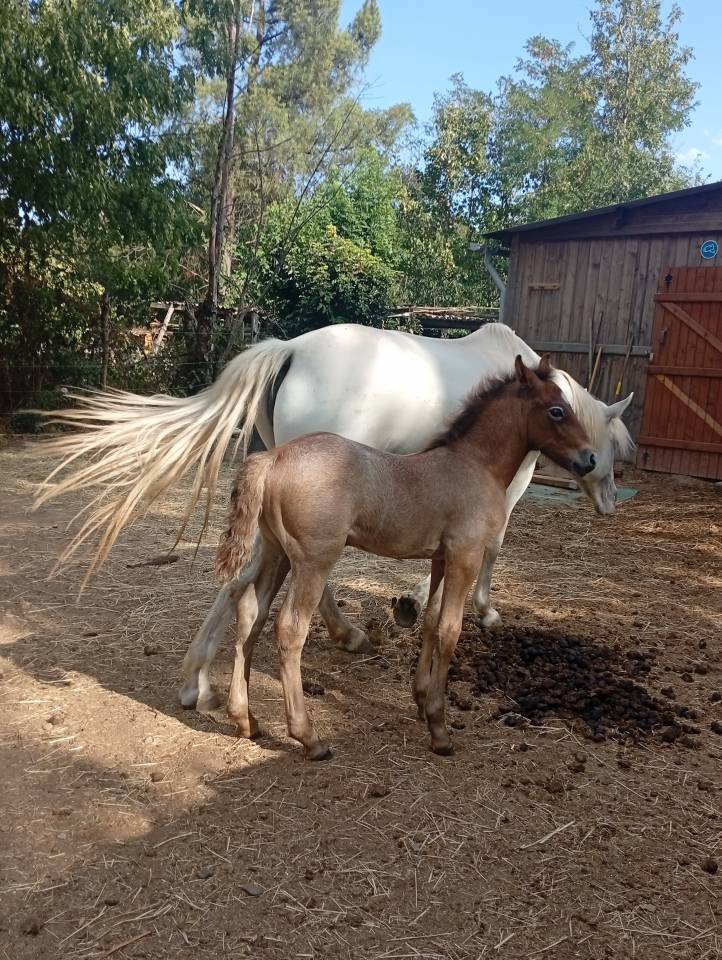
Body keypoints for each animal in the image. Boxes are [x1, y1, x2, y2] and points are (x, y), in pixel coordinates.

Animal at [36, 322, 633, 673]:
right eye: (610, 446)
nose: (608, 500)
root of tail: (290, 350)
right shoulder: (508, 490)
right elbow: (490, 550)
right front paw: (471, 610)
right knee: (311, 578)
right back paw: (347, 634)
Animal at [209, 355, 596, 759]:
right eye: (557, 410)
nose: (589, 459)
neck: (475, 464)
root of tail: (273, 457)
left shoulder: (442, 558)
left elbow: (430, 621)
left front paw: (421, 700)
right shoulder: (466, 555)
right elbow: (450, 630)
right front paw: (439, 729)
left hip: (277, 553)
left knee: (250, 613)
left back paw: (245, 719)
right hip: (313, 561)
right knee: (289, 628)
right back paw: (309, 737)